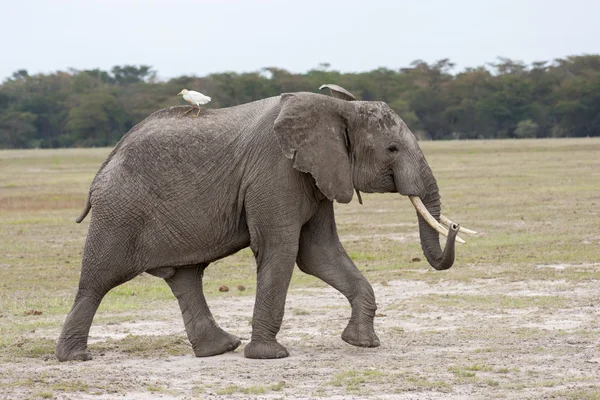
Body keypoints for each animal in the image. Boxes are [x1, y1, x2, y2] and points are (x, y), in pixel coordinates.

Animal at [57, 85, 478, 362]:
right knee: (99, 280)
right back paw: (74, 358)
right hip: (120, 211)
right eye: (392, 148)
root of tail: (105, 165)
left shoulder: (316, 175)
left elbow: (318, 253)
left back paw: (220, 349)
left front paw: (362, 344)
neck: (335, 108)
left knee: (186, 276)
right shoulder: (276, 172)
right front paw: (269, 356)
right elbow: (283, 249)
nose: (457, 227)